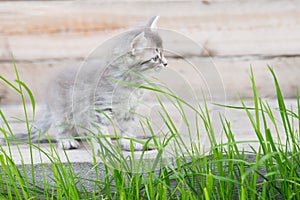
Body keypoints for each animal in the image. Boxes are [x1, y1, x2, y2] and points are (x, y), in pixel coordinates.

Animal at [5, 16, 168, 151]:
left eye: (163, 53)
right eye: (155, 58)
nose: (166, 63)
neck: (130, 83)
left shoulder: (129, 110)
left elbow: (127, 129)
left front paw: (130, 143)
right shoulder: (100, 108)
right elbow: (101, 130)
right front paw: (106, 149)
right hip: (63, 109)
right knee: (60, 126)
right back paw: (66, 141)